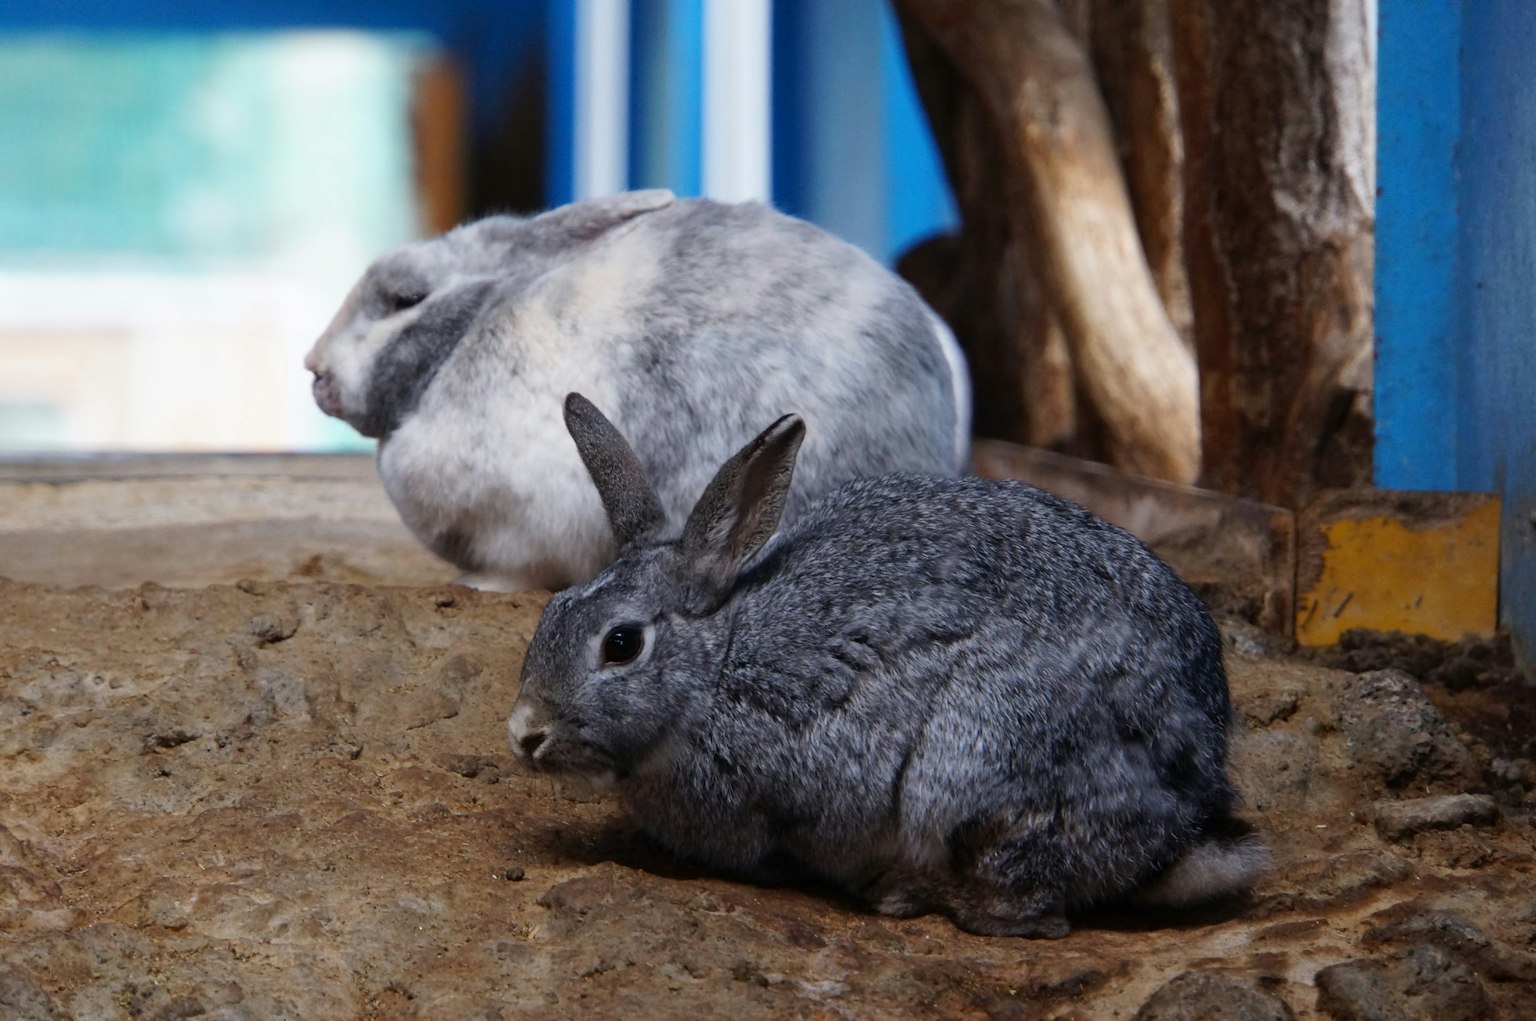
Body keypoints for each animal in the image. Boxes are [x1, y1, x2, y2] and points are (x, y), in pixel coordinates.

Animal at [507, 393, 1267, 939]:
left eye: (621, 644)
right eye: (553, 610)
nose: (524, 733)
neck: (716, 668)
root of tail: (1187, 821)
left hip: (974, 766)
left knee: (1026, 909)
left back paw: (907, 894)